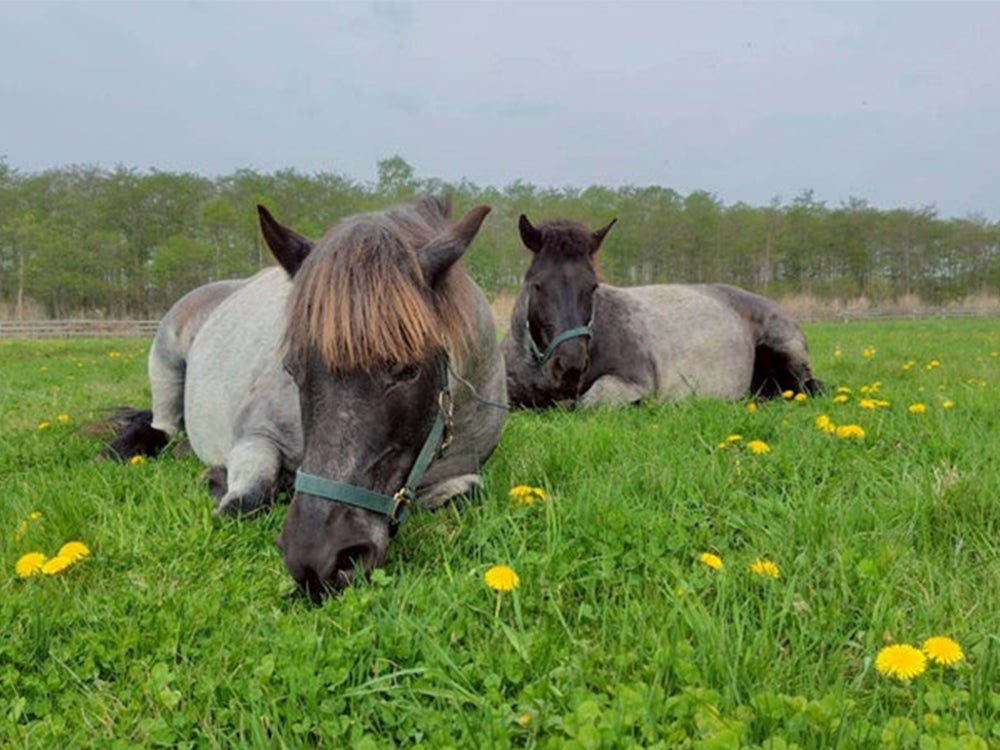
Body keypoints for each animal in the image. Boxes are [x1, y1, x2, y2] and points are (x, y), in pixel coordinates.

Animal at [104, 197, 507, 600]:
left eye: (409, 370)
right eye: (292, 368)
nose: (318, 558)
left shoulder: (460, 471)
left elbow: (466, 491)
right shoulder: (256, 435)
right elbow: (245, 498)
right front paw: (222, 481)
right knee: (161, 428)